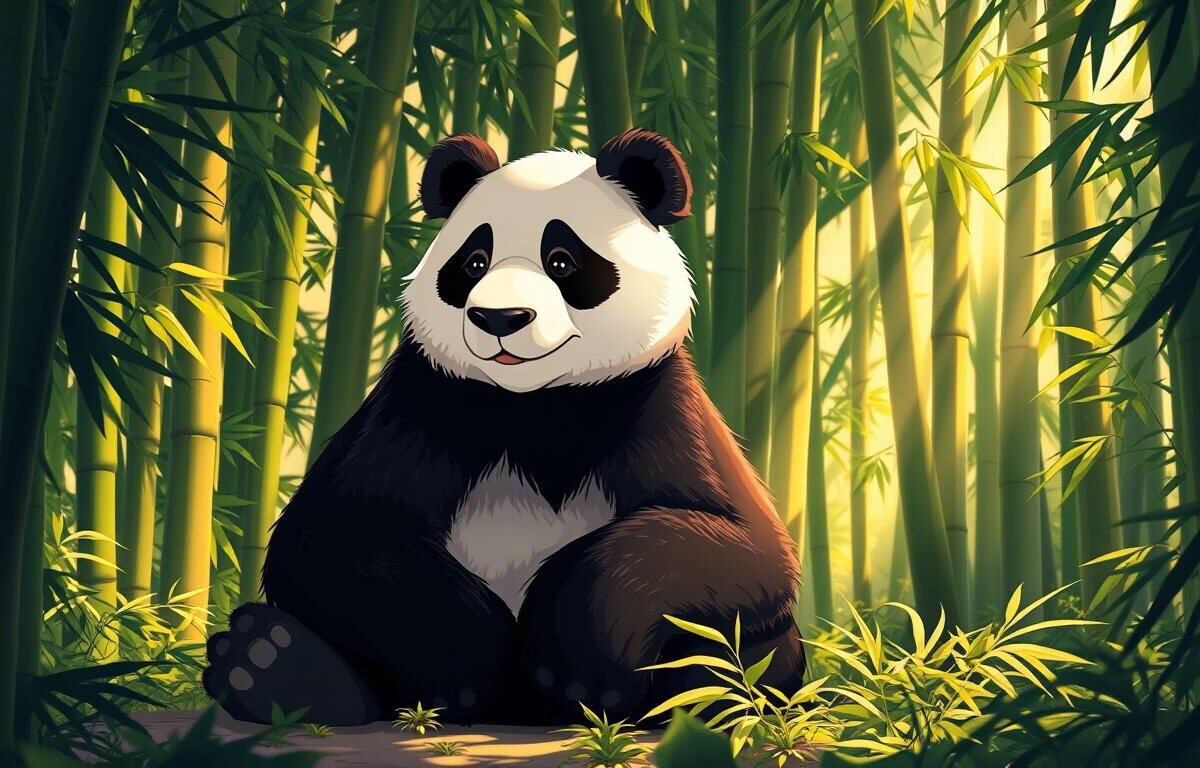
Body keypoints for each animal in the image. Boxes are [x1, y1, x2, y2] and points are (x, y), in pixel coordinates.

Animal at [203, 129, 806, 726]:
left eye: (562, 261)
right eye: (472, 263)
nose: (499, 318)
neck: (535, 404)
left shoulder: (658, 402)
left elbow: (741, 544)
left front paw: (576, 665)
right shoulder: (422, 401)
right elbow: (329, 533)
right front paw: (464, 660)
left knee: (743, 652)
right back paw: (272, 664)